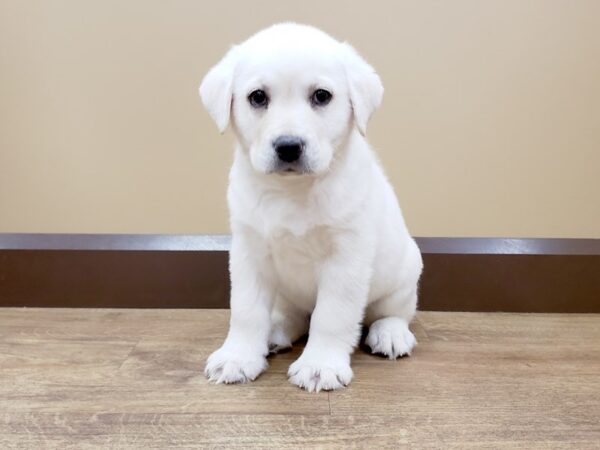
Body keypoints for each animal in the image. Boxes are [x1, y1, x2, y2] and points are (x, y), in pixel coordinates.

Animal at [200, 22, 422, 392]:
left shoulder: (345, 258)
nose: (288, 146)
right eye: (257, 97)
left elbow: (331, 317)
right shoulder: (248, 251)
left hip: (402, 277)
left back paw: (389, 334)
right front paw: (238, 356)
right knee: (295, 316)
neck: (291, 191)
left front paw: (320, 365)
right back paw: (275, 332)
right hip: (287, 294)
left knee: (392, 313)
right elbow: (246, 311)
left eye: (321, 96)